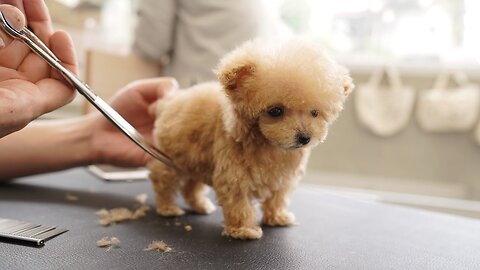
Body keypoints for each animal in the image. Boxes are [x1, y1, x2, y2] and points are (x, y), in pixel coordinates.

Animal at [146, 38, 352, 240]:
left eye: (314, 113)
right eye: (275, 111)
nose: (305, 137)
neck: (270, 146)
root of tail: (170, 102)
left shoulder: (283, 178)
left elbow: (277, 199)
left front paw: (277, 218)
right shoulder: (233, 177)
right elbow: (239, 206)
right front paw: (244, 230)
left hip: (196, 160)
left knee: (191, 186)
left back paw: (200, 205)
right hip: (171, 159)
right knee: (163, 181)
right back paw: (167, 207)